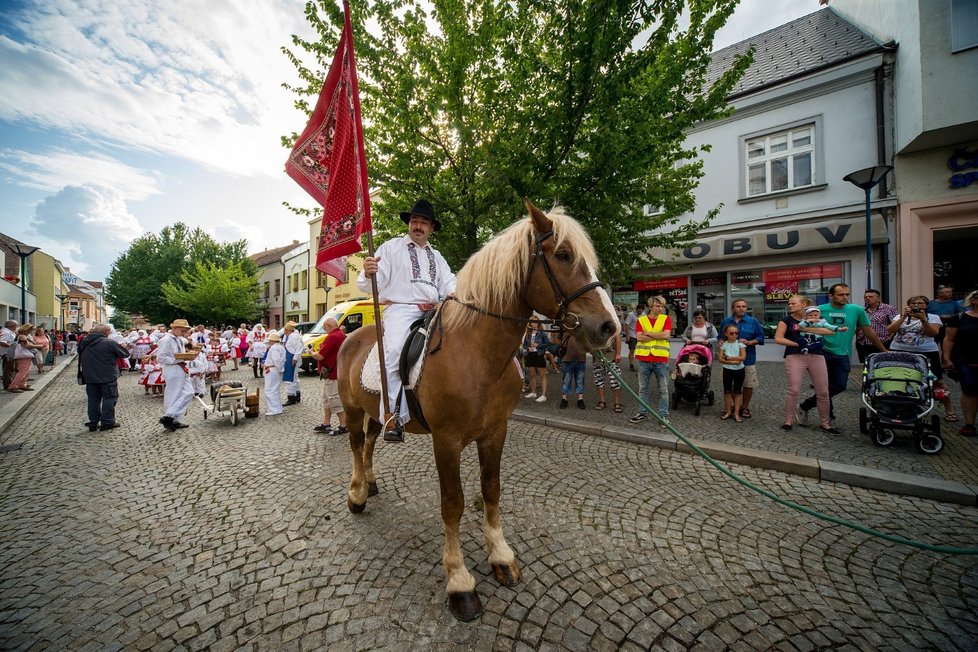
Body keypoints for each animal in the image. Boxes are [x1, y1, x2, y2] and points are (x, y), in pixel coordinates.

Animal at [332, 199, 612, 620]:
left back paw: (371, 482)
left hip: (376, 412)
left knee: (368, 442)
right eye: (563, 255)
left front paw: (501, 556)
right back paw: (357, 494)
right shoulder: (446, 441)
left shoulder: (495, 432)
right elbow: (453, 504)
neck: (477, 353)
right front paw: (459, 581)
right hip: (350, 409)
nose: (609, 327)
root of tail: (351, 336)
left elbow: (491, 490)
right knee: (353, 445)